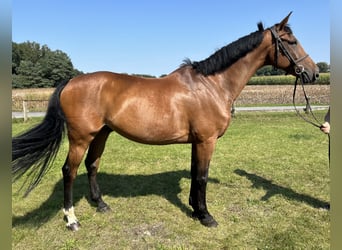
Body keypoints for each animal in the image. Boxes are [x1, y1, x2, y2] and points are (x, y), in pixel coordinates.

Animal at [12, 12, 320, 230]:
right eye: (291, 42)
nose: (314, 73)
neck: (212, 84)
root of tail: (71, 81)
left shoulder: (197, 141)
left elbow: (195, 173)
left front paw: (195, 209)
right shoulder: (206, 140)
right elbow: (202, 176)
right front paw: (206, 216)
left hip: (101, 133)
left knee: (92, 166)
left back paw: (101, 205)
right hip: (80, 137)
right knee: (70, 171)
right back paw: (72, 220)